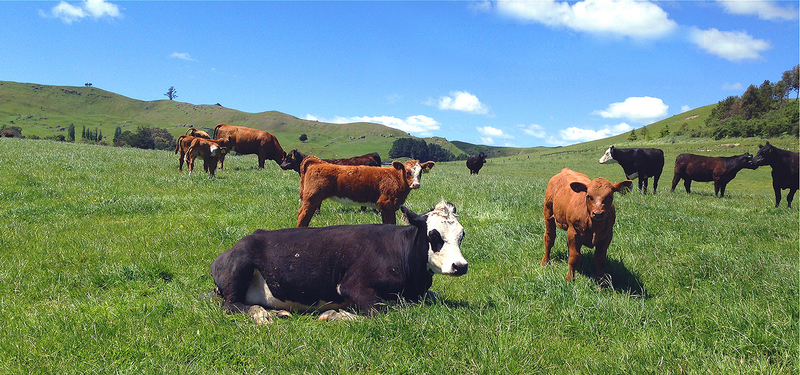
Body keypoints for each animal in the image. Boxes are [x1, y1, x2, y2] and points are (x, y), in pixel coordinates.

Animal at [209, 198, 468, 324]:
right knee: (231, 305)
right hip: (239, 267)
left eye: (462, 235)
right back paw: (263, 314)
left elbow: (432, 297)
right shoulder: (353, 285)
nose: (461, 266)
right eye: (433, 236)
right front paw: (335, 315)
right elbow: (382, 311)